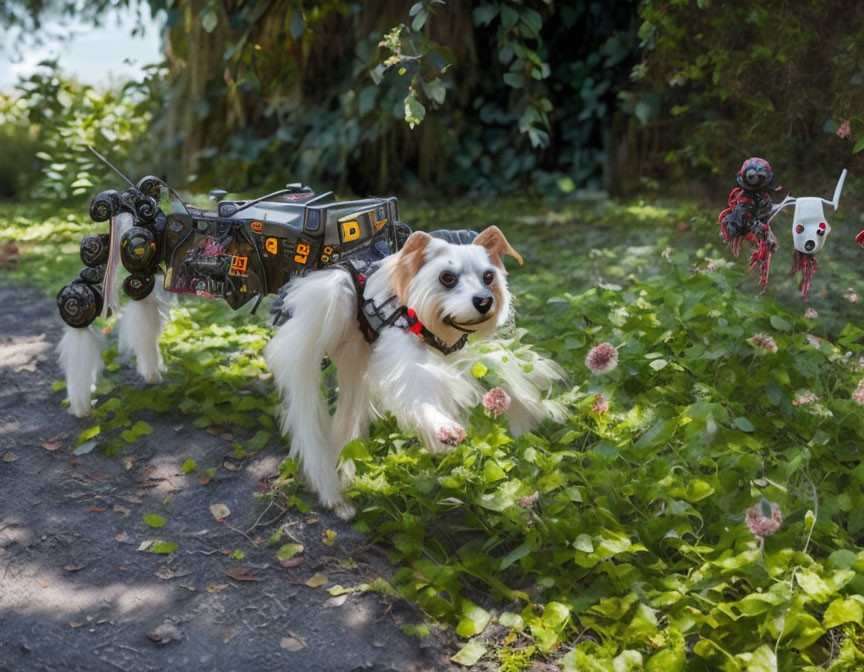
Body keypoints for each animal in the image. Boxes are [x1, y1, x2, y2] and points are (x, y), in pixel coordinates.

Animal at [264, 227, 564, 520]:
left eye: (488, 276)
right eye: (447, 278)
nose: (484, 301)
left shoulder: (461, 353)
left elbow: (503, 369)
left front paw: (525, 412)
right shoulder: (404, 358)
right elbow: (421, 394)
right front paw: (443, 429)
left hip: (355, 355)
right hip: (327, 314)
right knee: (308, 412)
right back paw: (333, 494)